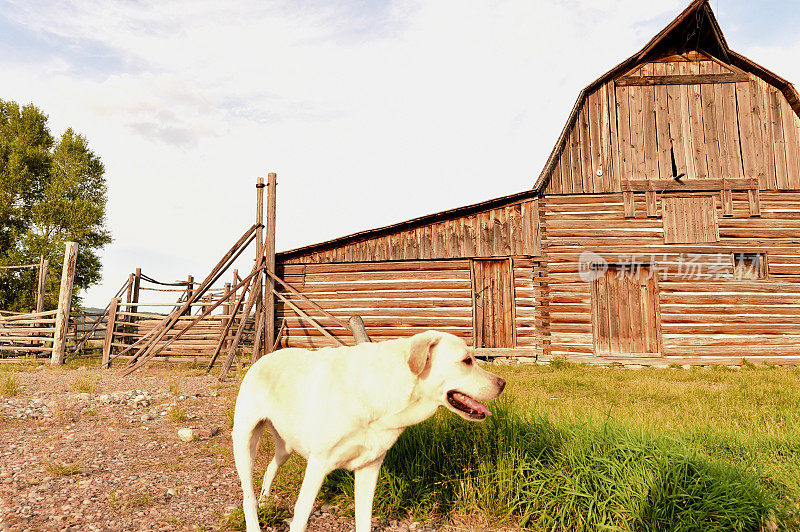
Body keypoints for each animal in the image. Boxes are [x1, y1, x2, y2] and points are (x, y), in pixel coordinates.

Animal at [231, 330, 506, 528]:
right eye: (466, 361)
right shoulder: (318, 466)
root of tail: (263, 357)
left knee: (270, 468)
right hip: (244, 441)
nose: (503, 382)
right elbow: (300, 516)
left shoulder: (369, 468)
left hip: (286, 446)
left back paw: (266, 502)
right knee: (247, 496)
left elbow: (364, 517)